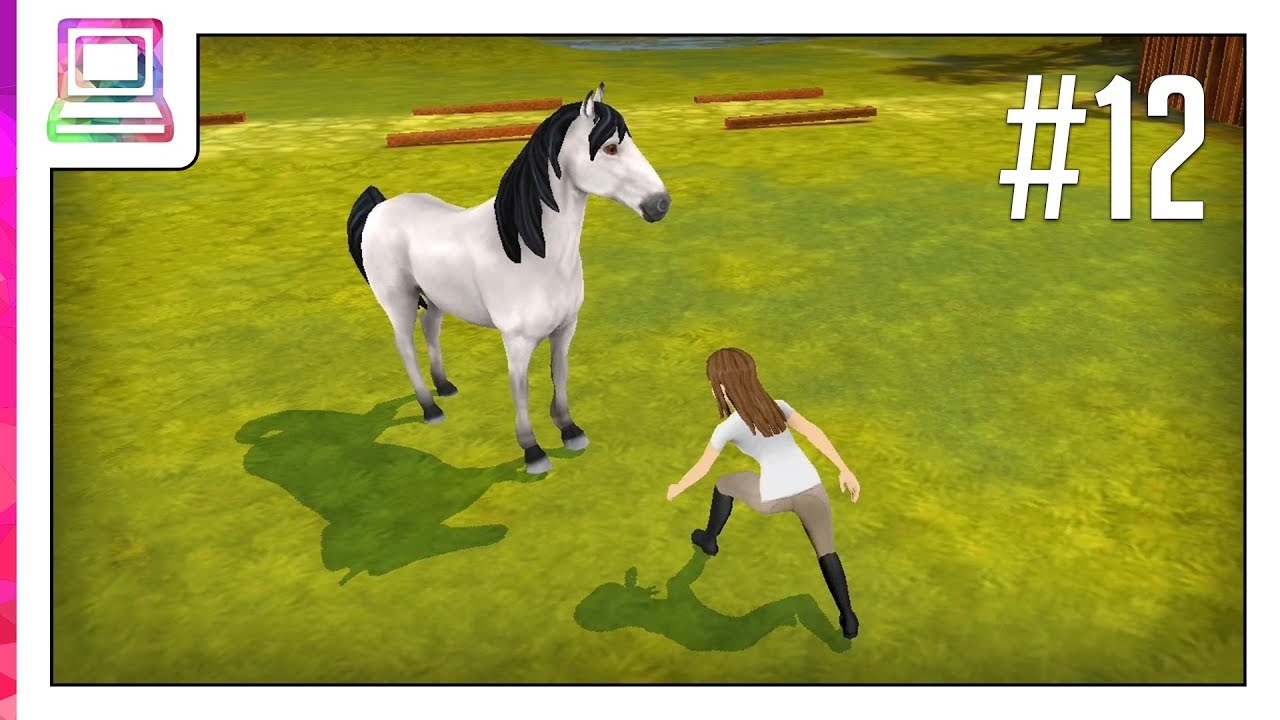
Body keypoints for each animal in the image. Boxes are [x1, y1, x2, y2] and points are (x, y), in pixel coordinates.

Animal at [345, 83, 671, 475]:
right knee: (405, 344)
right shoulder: (516, 341)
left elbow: (560, 374)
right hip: (400, 300)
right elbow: (522, 389)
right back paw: (431, 408)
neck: (531, 250)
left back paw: (445, 387)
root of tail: (380, 207)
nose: (661, 204)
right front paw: (533, 451)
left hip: (436, 298)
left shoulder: (565, 329)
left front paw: (570, 430)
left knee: (430, 328)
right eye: (610, 148)